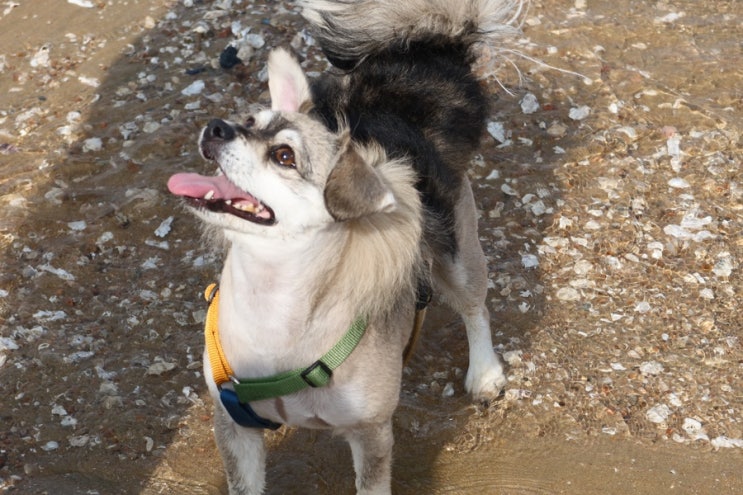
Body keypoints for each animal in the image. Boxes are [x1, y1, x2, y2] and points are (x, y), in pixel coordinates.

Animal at [167, 0, 524, 495]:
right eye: (249, 123)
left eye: (284, 156)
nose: (218, 127)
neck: (275, 297)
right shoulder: (236, 428)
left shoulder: (371, 433)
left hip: (457, 253)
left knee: (476, 307)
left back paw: (485, 372)